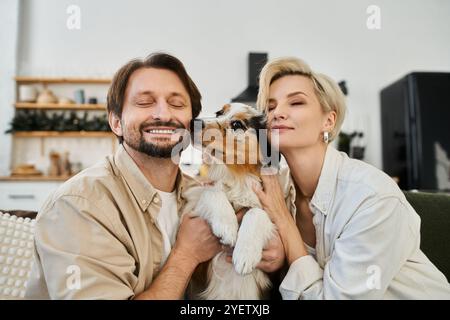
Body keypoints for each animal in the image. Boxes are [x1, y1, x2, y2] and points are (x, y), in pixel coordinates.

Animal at [183, 103, 288, 300]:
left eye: (237, 124)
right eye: (219, 113)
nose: (193, 122)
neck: (236, 176)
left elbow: (256, 211)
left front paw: (245, 255)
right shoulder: (196, 196)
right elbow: (211, 191)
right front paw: (227, 227)